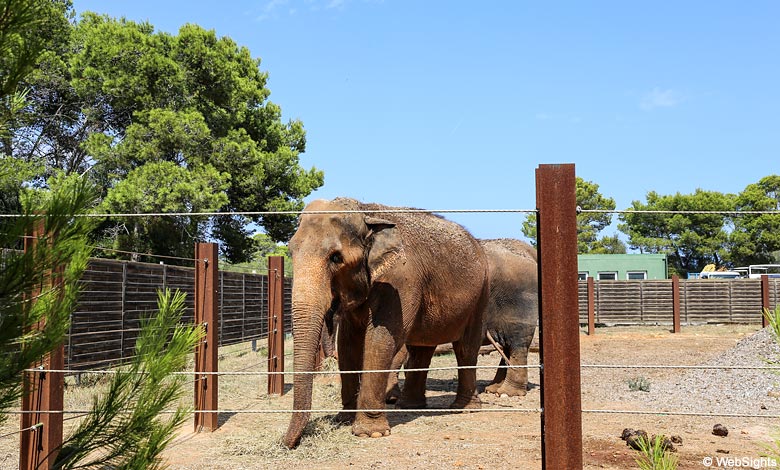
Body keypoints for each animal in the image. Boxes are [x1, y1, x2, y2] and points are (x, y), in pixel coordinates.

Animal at [280, 197, 488, 448]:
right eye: (291, 251)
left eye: (336, 258)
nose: (286, 443)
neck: (366, 213)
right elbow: (348, 344)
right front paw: (343, 420)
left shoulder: (400, 281)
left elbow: (380, 340)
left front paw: (370, 433)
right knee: (421, 350)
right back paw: (410, 406)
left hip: (480, 295)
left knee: (466, 348)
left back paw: (464, 408)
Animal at [386, 239, 540, 400]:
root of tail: (530, 251)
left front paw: (391, 398)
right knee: (507, 346)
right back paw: (493, 388)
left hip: (519, 304)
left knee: (517, 344)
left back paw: (507, 392)